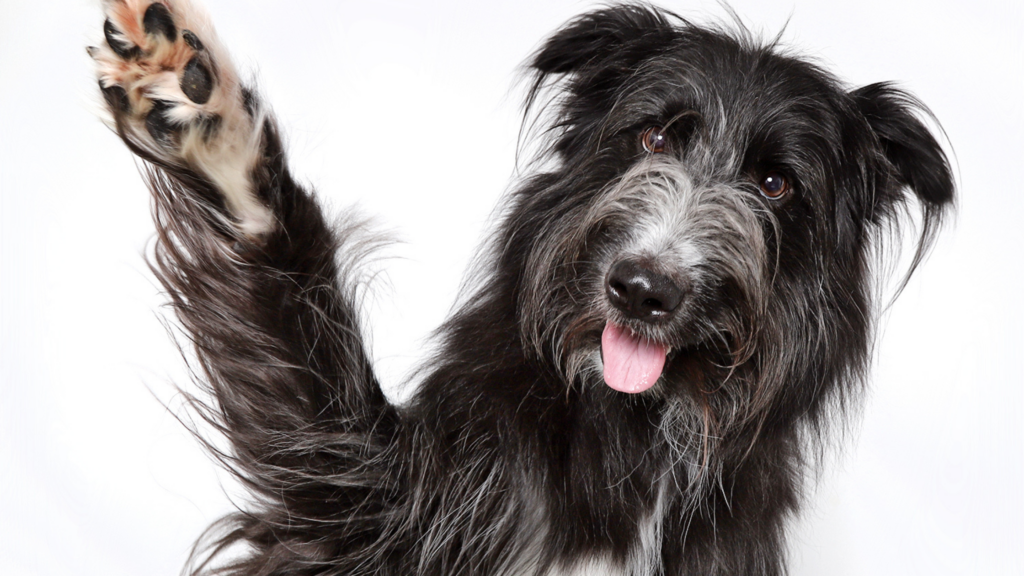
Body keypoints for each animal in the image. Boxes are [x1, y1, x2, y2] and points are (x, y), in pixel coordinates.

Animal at [88, 1, 950, 573]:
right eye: (652, 137)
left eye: (775, 184)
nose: (644, 288)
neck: (636, 435)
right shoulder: (378, 510)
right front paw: (203, 113)